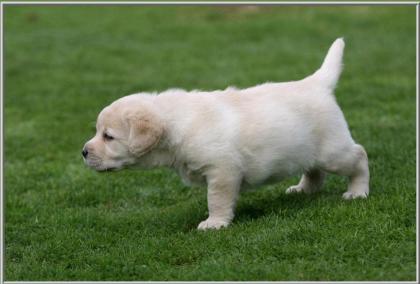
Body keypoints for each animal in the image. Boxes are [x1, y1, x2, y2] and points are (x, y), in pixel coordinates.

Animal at [83, 37, 370, 230]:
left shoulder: (222, 170)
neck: (176, 124)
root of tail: (316, 83)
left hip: (333, 151)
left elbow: (217, 199)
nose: (84, 152)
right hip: (306, 149)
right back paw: (304, 189)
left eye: (108, 136)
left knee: (359, 155)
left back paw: (357, 192)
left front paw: (215, 223)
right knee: (313, 170)